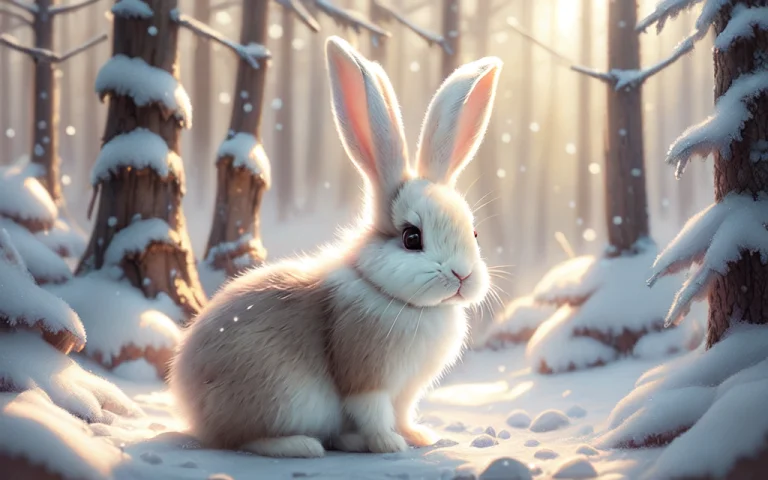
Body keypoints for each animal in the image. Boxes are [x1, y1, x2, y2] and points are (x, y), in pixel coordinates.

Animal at [169, 35, 502, 459]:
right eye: (412, 238)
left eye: (473, 234)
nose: (462, 275)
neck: (399, 300)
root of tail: (188, 401)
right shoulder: (366, 375)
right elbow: (374, 412)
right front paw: (389, 445)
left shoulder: (406, 392)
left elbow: (403, 412)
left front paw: (417, 435)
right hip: (279, 397)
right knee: (239, 439)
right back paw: (302, 446)